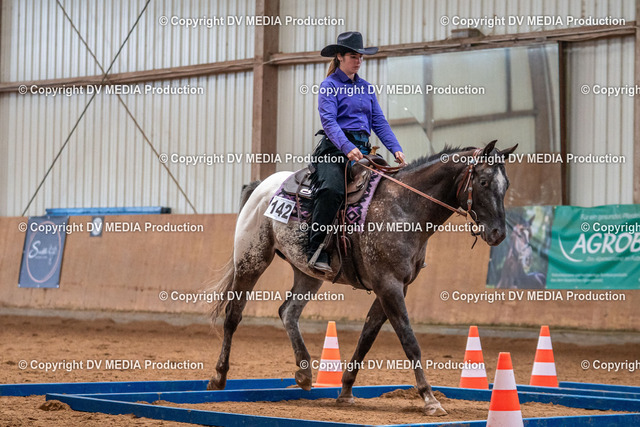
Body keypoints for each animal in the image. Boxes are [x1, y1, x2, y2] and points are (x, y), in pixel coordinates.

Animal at [207, 140, 517, 415]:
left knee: (288, 312)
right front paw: (430, 399)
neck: (405, 207)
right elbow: (409, 340)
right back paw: (219, 377)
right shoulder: (389, 285)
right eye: (484, 182)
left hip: (307, 273)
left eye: (506, 185)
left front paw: (345, 391)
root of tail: (262, 186)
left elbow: (367, 337)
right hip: (252, 260)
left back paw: (304, 372)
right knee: (233, 315)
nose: (498, 233)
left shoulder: (393, 287)